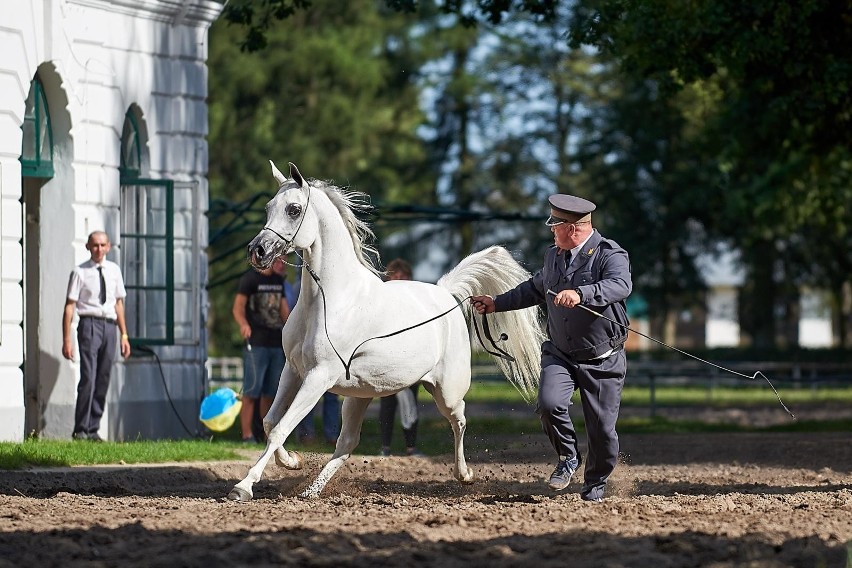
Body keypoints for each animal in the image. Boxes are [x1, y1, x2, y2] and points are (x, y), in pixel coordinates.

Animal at [228, 161, 544, 502]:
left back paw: (465, 475)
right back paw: (312, 490)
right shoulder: (293, 369)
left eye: (294, 209)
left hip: (446, 390)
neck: (330, 300)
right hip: (360, 395)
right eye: (268, 207)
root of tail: (446, 294)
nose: (257, 250)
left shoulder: (318, 376)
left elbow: (281, 428)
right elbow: (271, 422)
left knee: (459, 419)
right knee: (347, 442)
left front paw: (243, 486)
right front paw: (292, 462)